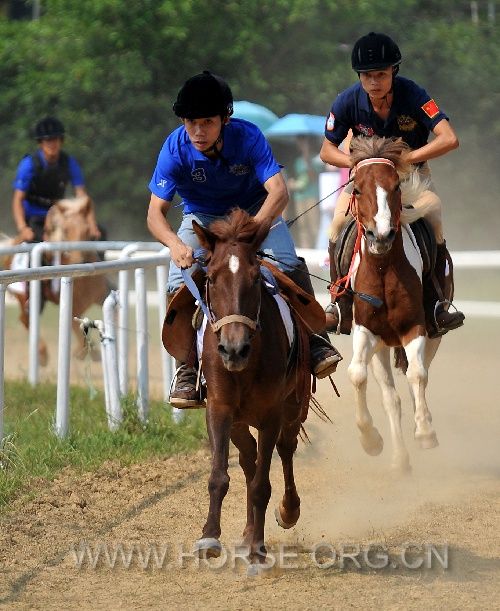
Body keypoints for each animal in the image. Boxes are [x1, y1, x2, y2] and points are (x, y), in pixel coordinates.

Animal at [2, 198, 108, 366]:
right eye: (65, 230)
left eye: (87, 230)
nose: (78, 260)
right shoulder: (72, 307)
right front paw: (84, 353)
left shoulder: (100, 296)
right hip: (25, 297)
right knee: (26, 318)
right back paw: (42, 355)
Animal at [189, 208, 314, 572]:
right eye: (211, 278)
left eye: (255, 278)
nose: (234, 349)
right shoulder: (219, 409)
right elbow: (220, 475)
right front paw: (209, 537)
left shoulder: (272, 413)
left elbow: (262, 483)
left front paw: (258, 550)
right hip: (240, 421)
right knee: (248, 459)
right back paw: (246, 533)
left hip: (294, 406)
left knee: (284, 450)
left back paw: (288, 510)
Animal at [346, 137, 444, 474]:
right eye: (356, 189)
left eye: (396, 186)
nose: (381, 235)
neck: (382, 268)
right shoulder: (366, 331)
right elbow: (357, 375)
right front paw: (370, 439)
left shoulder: (416, 327)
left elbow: (418, 375)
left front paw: (425, 432)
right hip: (380, 347)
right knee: (391, 398)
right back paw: (400, 460)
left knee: (419, 375)